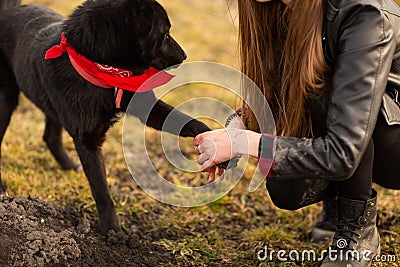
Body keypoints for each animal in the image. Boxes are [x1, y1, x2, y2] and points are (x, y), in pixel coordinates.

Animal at [0, 0, 211, 234]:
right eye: (165, 34)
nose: (184, 57)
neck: (106, 74)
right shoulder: (88, 141)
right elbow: (101, 191)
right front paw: (112, 231)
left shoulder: (144, 105)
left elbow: (180, 119)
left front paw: (212, 137)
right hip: (5, 101)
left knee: (50, 137)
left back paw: (68, 165)